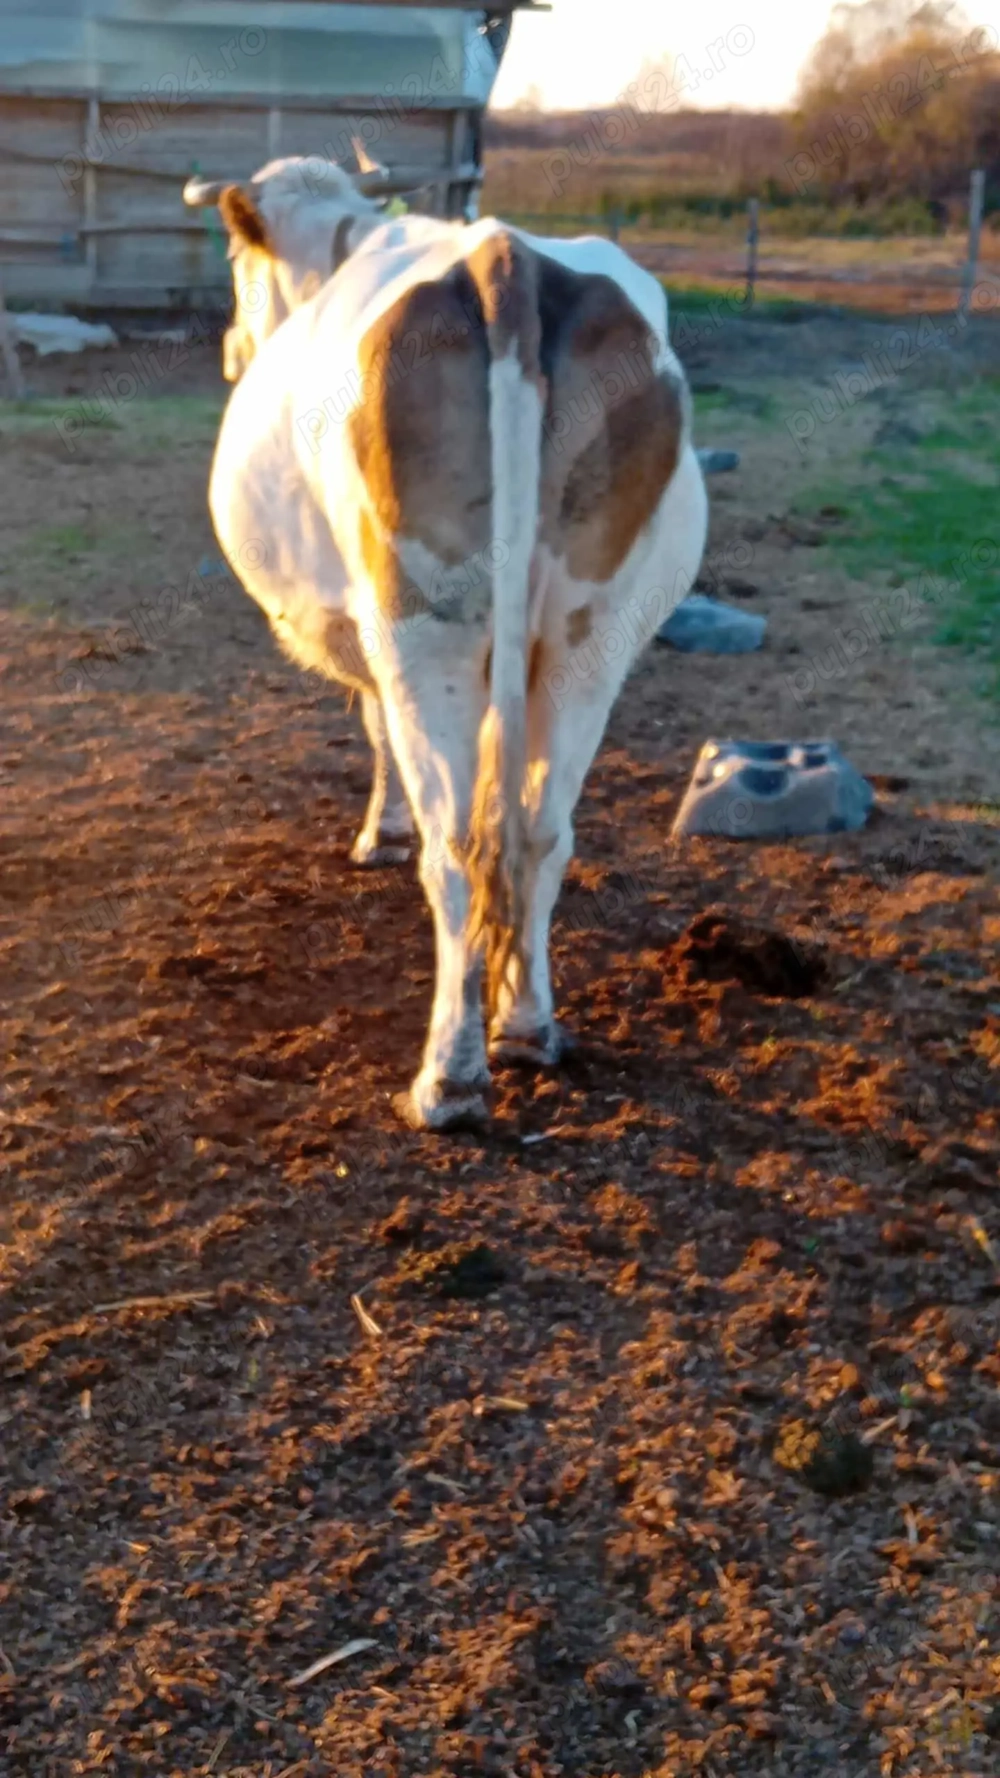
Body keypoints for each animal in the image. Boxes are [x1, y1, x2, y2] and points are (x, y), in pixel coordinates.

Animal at [183, 156, 708, 1131]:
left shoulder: (365, 632)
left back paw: (450, 1076)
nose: (233, 348)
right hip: (590, 634)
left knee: (458, 845)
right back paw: (526, 1025)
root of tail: (503, 258)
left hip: (421, 623)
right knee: (539, 827)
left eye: (237, 262)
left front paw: (379, 833)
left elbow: (375, 729)